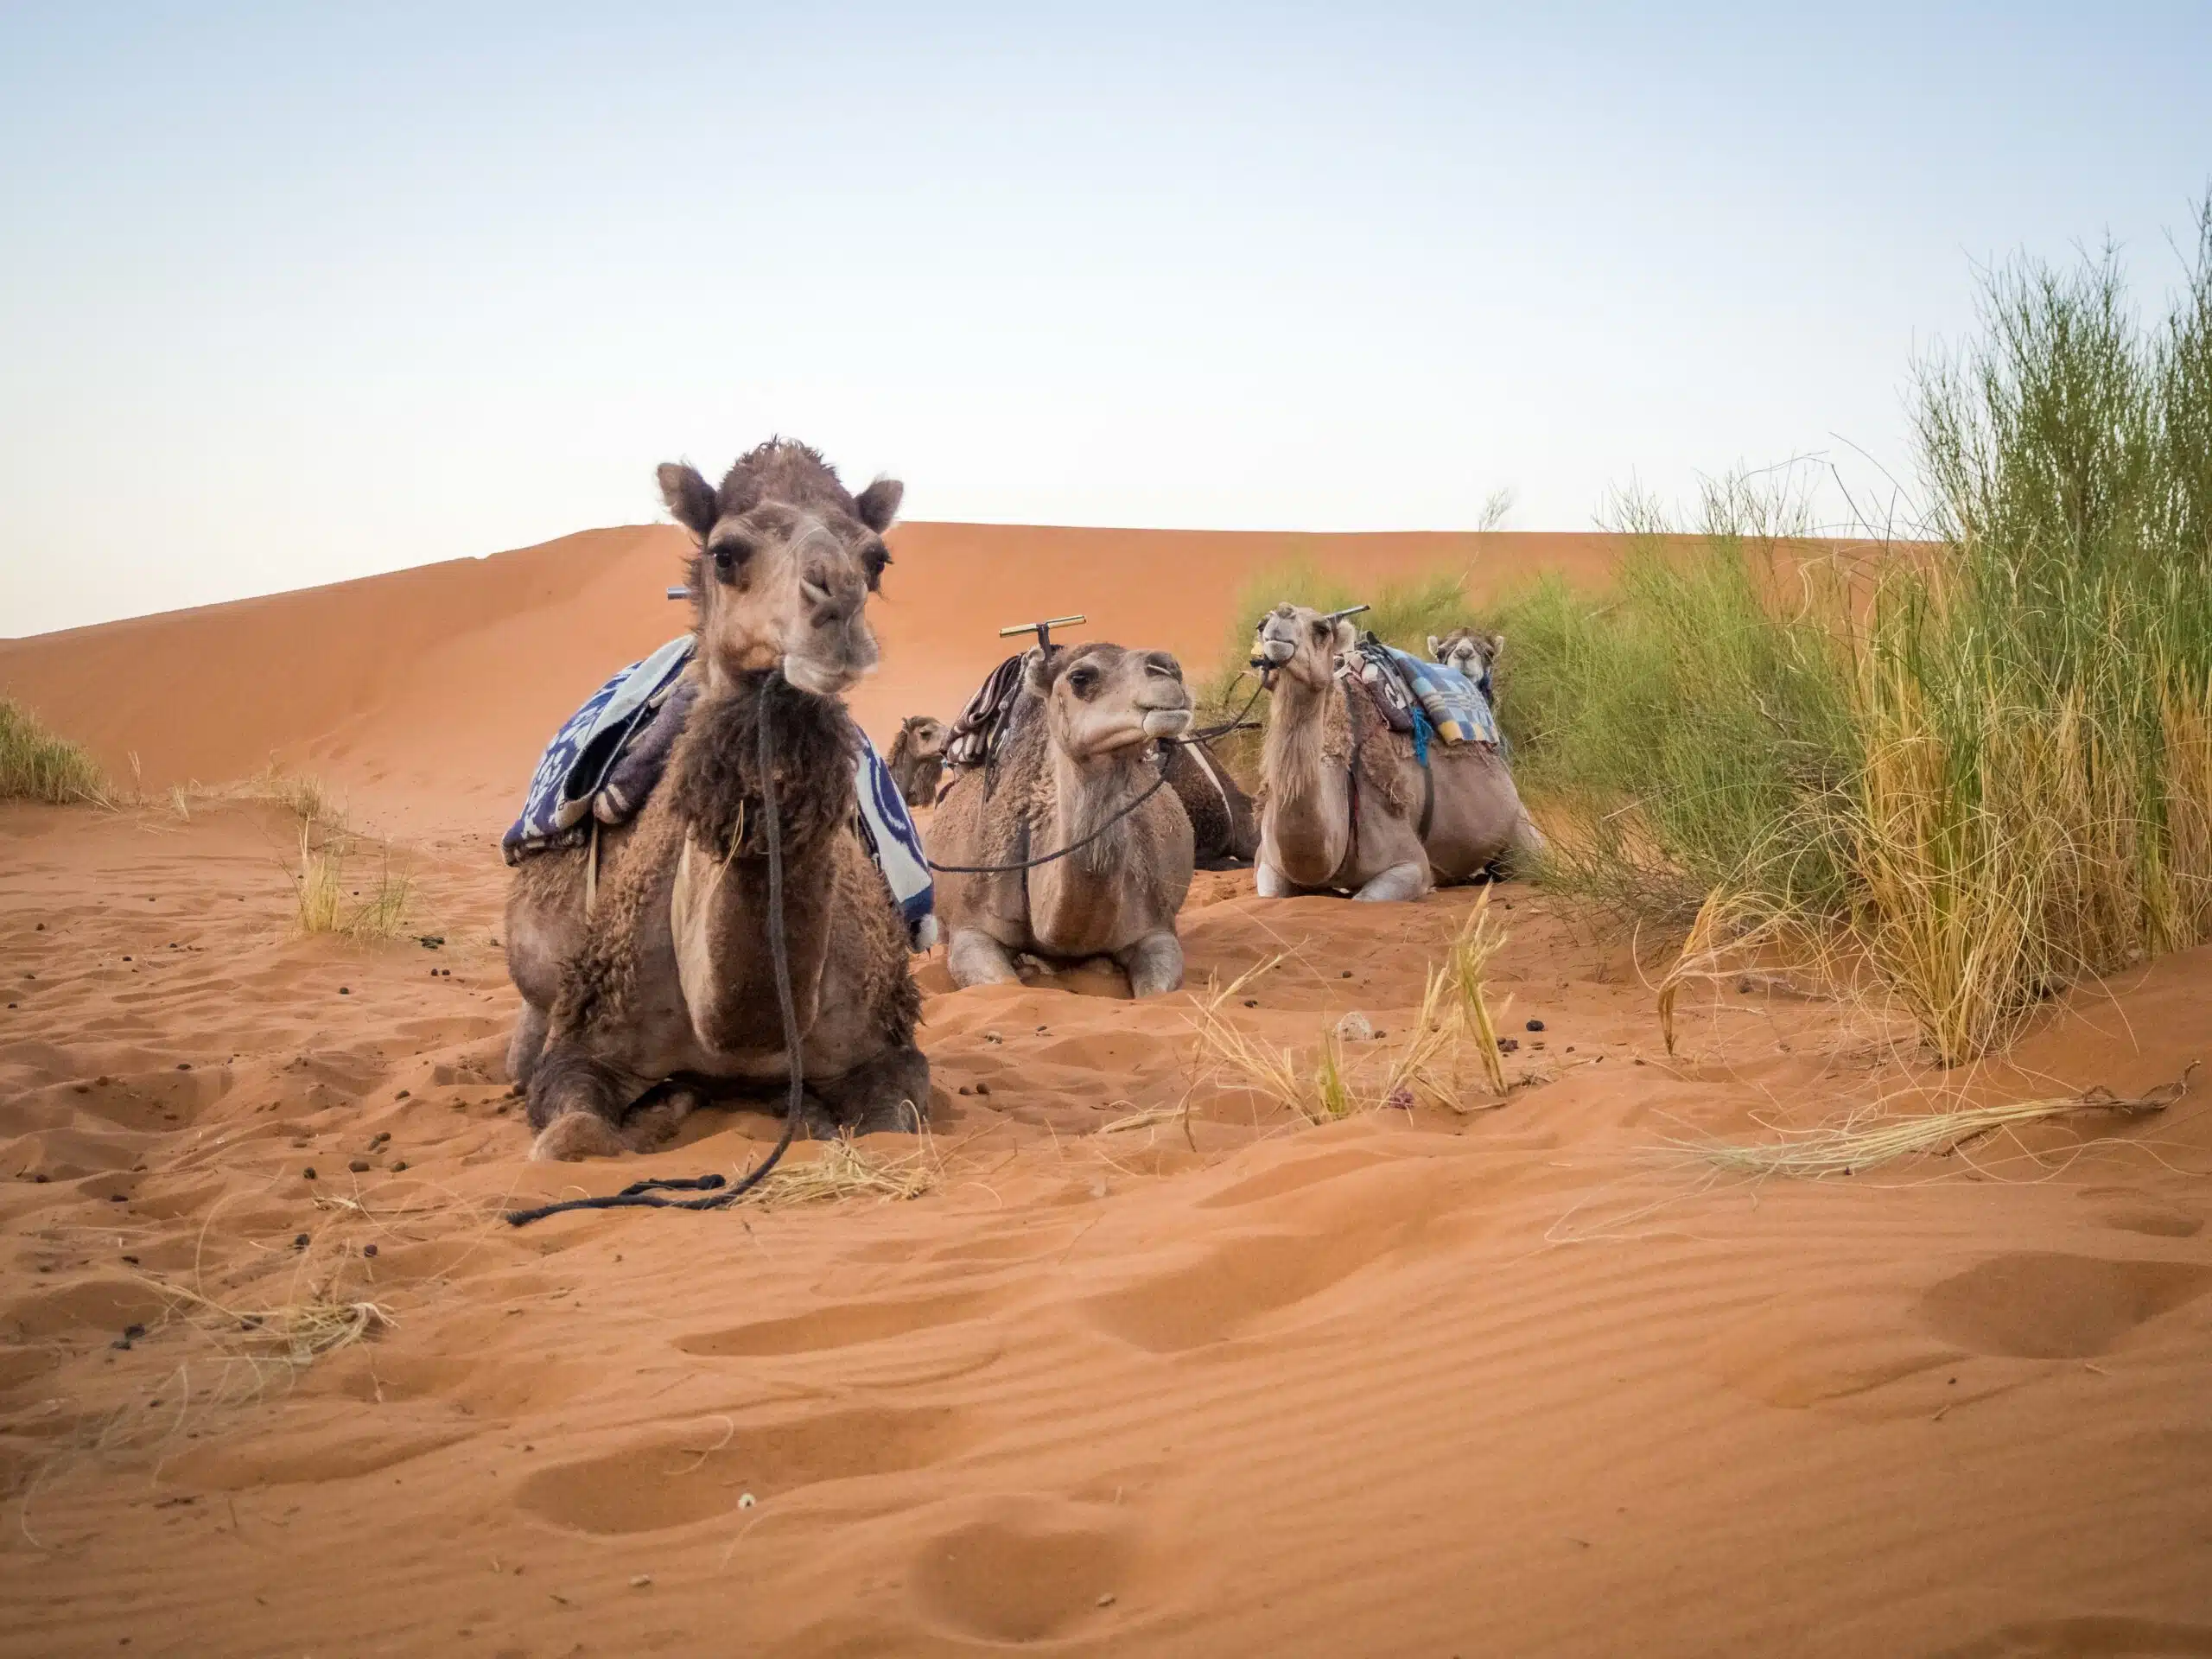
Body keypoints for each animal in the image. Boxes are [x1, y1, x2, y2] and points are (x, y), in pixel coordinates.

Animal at [502, 442, 925, 1167]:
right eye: (726, 553)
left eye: (876, 560)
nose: (838, 605)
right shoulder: (583, 1036)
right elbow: (576, 1136)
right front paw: (665, 1107)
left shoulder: (887, 1047)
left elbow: (895, 1129)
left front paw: (808, 1114)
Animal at [938, 641, 1211, 995]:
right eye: (1080, 677)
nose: (1169, 668)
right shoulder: (971, 927)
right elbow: (1004, 984)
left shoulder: (1157, 929)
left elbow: (1156, 993)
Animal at [1247, 606, 1539, 902]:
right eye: (1261, 625)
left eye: (1322, 629)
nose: (1282, 614)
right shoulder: (1267, 863)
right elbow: (1271, 893)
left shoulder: (1409, 863)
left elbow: (1369, 897)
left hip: (1518, 828)